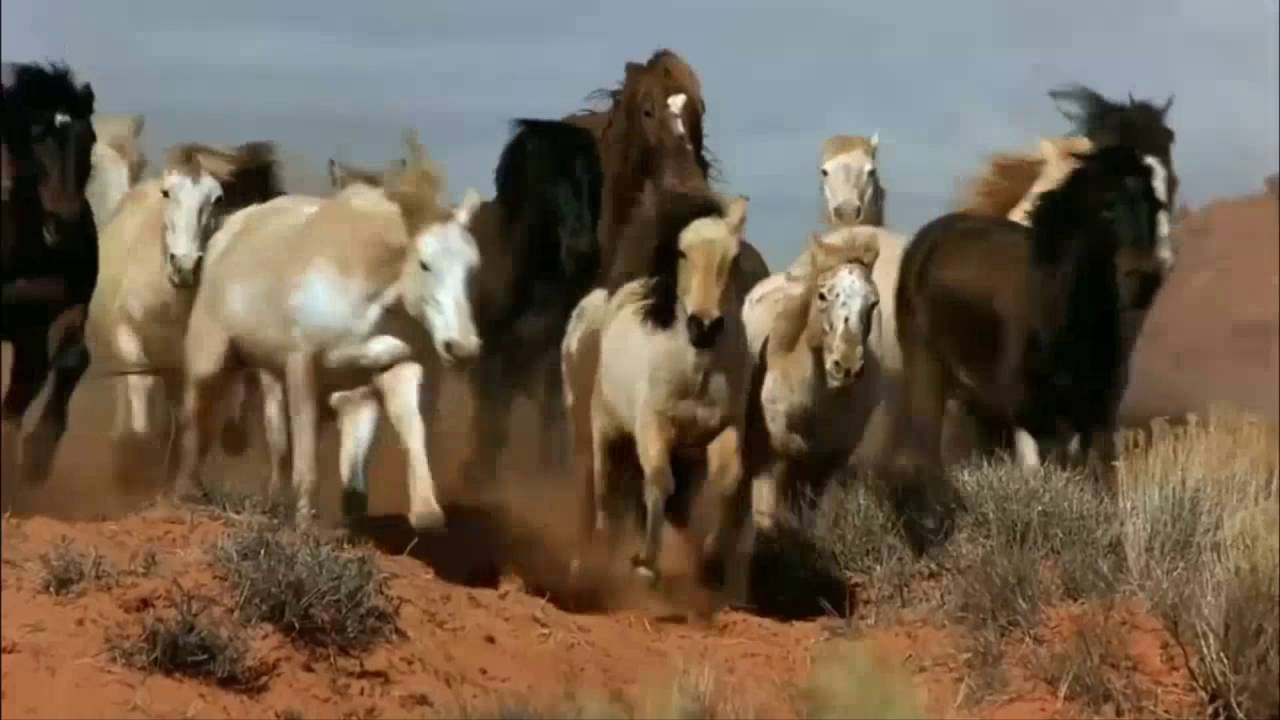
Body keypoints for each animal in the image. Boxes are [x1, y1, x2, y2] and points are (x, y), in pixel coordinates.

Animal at [84, 140, 287, 490]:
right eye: (167, 192)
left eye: (217, 198)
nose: (185, 266)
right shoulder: (127, 333)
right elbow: (139, 382)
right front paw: (135, 456)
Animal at [174, 133, 485, 530]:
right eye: (425, 264)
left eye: (472, 267)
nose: (462, 346)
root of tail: (230, 230)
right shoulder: (301, 366)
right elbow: (306, 460)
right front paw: (304, 527)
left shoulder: (392, 369)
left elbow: (407, 431)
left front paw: (424, 511)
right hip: (211, 358)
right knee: (196, 419)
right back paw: (188, 492)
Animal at [563, 191, 755, 601]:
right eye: (682, 253)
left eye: (732, 258)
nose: (704, 327)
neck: (697, 372)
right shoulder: (652, 427)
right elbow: (658, 483)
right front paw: (644, 563)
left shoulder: (724, 429)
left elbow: (725, 481)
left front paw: (710, 563)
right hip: (604, 433)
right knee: (603, 496)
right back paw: (592, 560)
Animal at [894, 145, 1172, 496]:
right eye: (1105, 206)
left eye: (1157, 204)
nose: (1147, 276)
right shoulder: (1028, 413)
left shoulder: (1098, 414)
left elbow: (1103, 484)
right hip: (927, 369)